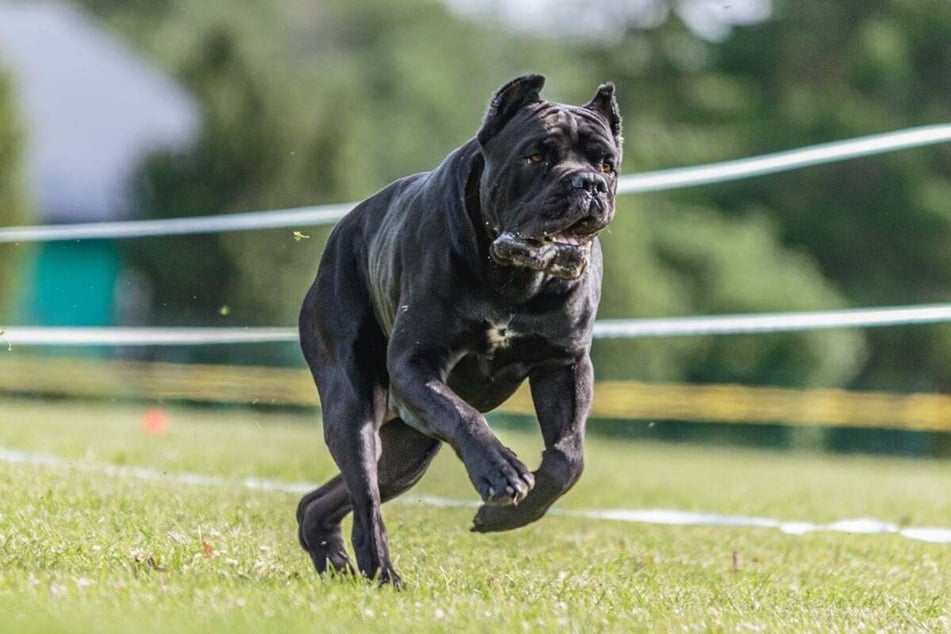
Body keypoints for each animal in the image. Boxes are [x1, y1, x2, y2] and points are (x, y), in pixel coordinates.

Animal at [300, 76, 624, 584]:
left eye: (607, 165)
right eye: (536, 156)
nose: (587, 183)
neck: (514, 277)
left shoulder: (565, 364)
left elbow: (568, 457)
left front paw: (507, 513)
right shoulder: (415, 364)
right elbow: (465, 416)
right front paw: (502, 472)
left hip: (407, 451)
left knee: (328, 499)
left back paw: (330, 554)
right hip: (353, 408)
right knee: (366, 497)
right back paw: (381, 571)